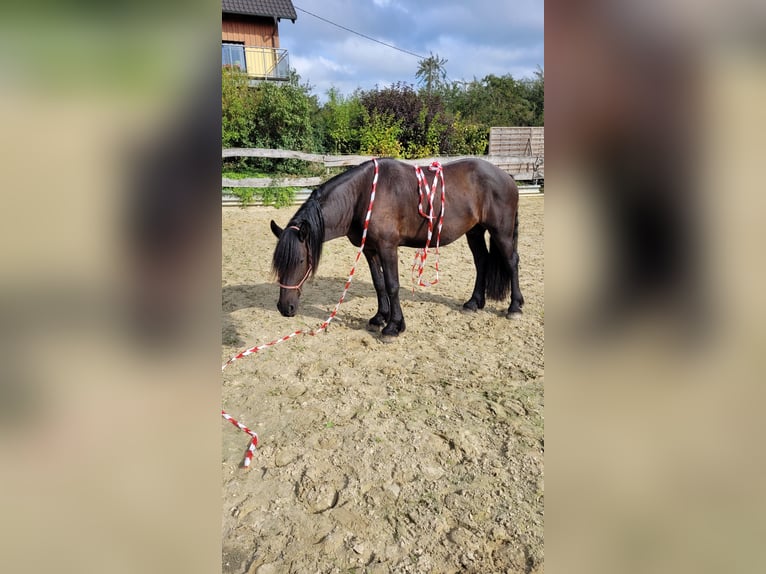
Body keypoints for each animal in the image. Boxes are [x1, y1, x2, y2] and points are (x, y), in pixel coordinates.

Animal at [269, 157, 524, 337]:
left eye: (300, 261)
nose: (284, 307)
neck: (362, 195)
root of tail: (507, 176)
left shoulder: (387, 247)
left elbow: (392, 285)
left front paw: (393, 326)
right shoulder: (370, 250)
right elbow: (379, 284)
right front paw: (379, 317)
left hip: (501, 232)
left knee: (511, 261)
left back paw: (515, 307)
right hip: (475, 231)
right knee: (482, 262)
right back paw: (473, 303)